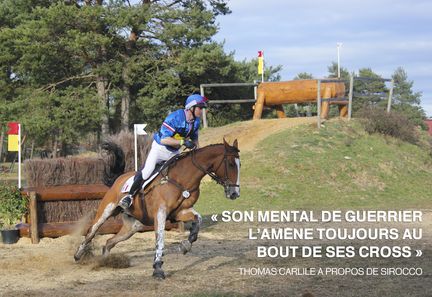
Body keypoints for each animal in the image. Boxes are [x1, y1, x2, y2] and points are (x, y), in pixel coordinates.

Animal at [73, 139, 240, 278]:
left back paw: (106, 261)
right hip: (106, 212)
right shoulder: (160, 213)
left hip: (132, 227)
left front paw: (186, 245)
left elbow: (197, 219)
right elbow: (160, 240)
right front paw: (158, 268)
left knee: (109, 242)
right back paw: (78, 255)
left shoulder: (180, 212)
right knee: (91, 232)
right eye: (231, 164)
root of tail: (119, 178)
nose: (234, 193)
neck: (183, 179)